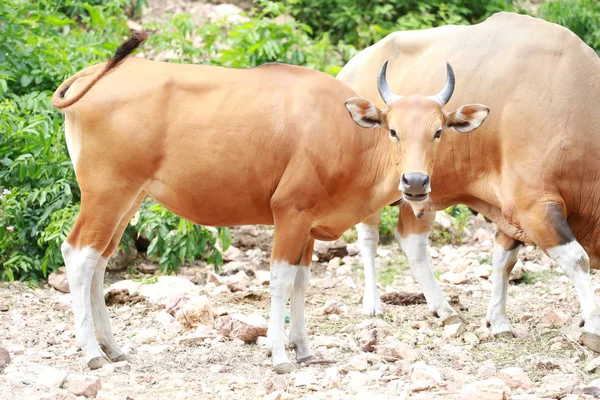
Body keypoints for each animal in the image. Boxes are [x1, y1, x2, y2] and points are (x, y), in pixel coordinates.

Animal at [51, 31, 488, 372]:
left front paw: (305, 350)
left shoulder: (309, 224)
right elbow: (279, 280)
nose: (415, 182)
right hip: (106, 193)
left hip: (129, 198)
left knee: (100, 261)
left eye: (438, 132)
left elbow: (302, 281)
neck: (346, 136)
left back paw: (113, 348)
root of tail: (93, 74)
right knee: (78, 255)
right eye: (393, 130)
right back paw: (92, 354)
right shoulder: (289, 213)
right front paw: (280, 355)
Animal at [338, 10, 600, 352]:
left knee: (411, 240)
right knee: (369, 236)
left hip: (422, 195)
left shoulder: (511, 212)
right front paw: (593, 326)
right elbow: (577, 258)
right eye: (392, 131)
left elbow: (504, 260)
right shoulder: (534, 205)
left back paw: (443, 308)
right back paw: (373, 303)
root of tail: (348, 68)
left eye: (439, 132)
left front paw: (499, 322)